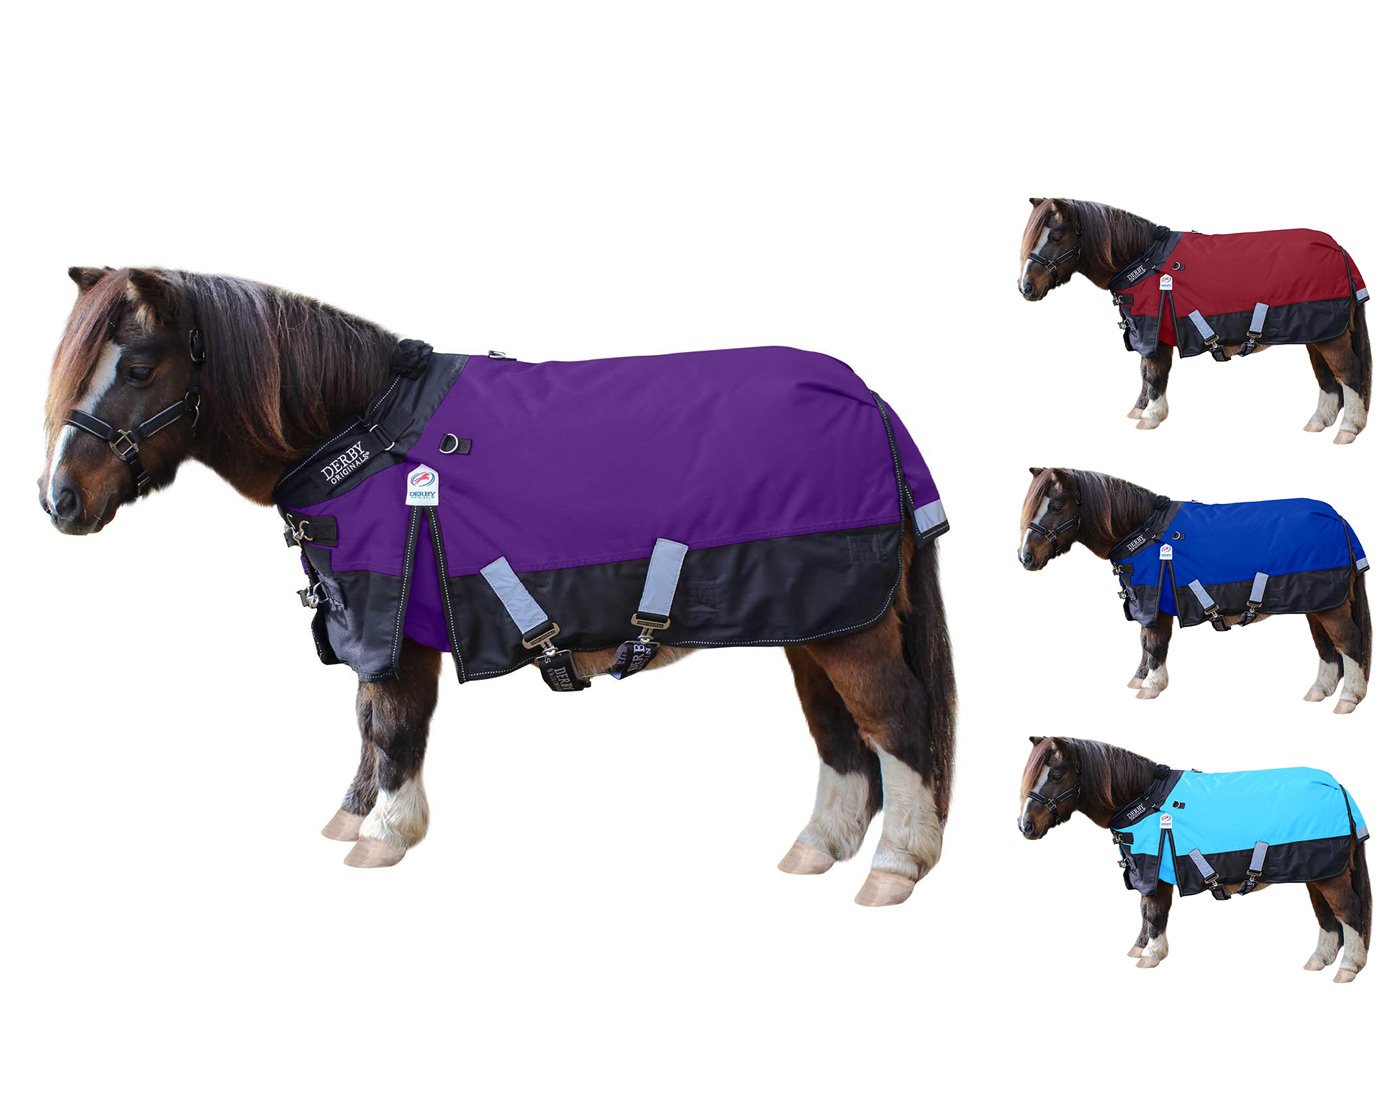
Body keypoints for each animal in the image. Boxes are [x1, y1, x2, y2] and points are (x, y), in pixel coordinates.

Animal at [36, 266, 956, 906]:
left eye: (140, 366)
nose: (59, 501)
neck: (365, 432)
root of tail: (868, 397)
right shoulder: (372, 618)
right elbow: (367, 721)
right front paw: (353, 814)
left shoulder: (393, 618)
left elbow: (392, 723)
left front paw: (385, 832)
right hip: (811, 621)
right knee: (839, 735)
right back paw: (817, 847)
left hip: (848, 627)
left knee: (895, 722)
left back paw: (894, 867)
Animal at [1018, 198, 1372, 443]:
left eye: (1057, 236)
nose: (1026, 287)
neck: (1143, 261)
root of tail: (1337, 247)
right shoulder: (1147, 333)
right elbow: (1145, 373)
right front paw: (1138, 410)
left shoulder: (1154, 334)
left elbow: (1155, 374)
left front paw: (1151, 416)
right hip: (1317, 334)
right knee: (1327, 378)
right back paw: (1318, 421)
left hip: (1329, 336)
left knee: (1348, 373)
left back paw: (1348, 429)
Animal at [1018, 468, 1371, 713]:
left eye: (1057, 505)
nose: (1026, 557)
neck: (1144, 531)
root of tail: (1338, 518)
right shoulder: (1146, 603)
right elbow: (1144, 643)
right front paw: (1139, 679)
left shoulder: (1155, 604)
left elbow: (1155, 644)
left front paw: (1152, 686)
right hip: (1316, 604)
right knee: (1326, 647)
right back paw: (1318, 691)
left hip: (1330, 606)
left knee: (1347, 642)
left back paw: (1348, 698)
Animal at [1018, 736, 1372, 982]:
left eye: (1057, 774)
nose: (1026, 826)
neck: (1143, 799)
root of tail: (1336, 785)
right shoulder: (1146, 871)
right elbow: (1145, 912)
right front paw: (1139, 948)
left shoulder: (1156, 872)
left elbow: (1155, 913)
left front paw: (1152, 955)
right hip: (1316, 873)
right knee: (1327, 917)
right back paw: (1318, 960)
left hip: (1330, 875)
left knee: (1348, 913)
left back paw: (1348, 968)